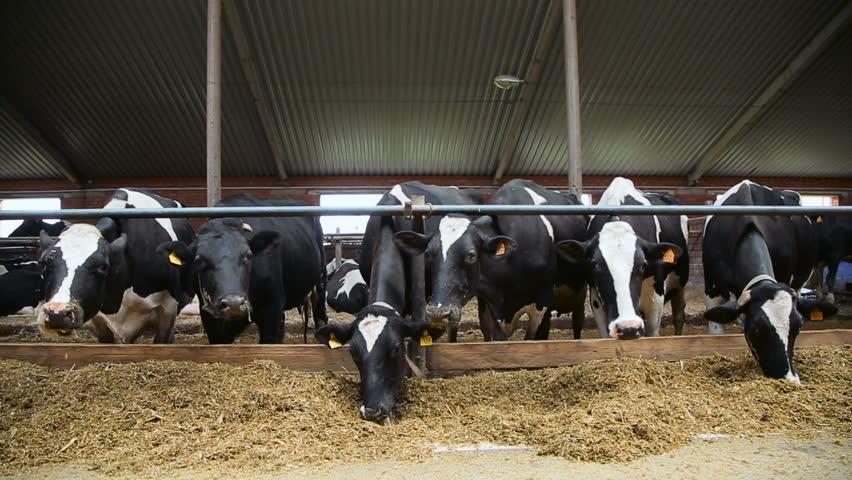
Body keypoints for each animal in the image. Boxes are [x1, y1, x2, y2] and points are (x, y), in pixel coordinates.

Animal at [158, 193, 328, 344]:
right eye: (199, 260)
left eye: (248, 255)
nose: (233, 303)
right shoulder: (210, 319)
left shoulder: (272, 310)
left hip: (320, 282)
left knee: (320, 316)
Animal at [394, 179, 588, 342]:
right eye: (428, 254)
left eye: (471, 255)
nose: (437, 313)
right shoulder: (487, 306)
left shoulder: (542, 302)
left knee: (577, 322)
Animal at [556, 178, 688, 340]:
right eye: (595, 265)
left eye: (643, 265)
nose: (629, 328)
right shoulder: (596, 299)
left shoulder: (655, 298)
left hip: (680, 281)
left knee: (679, 315)